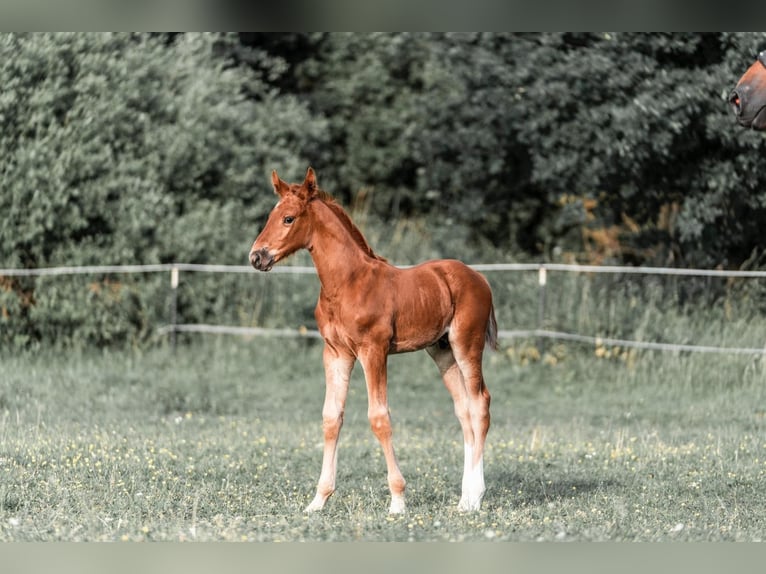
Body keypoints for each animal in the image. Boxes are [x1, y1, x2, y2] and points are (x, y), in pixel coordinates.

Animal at [249, 167, 497, 514]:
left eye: (288, 218)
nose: (256, 257)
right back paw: (464, 500)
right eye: (271, 216)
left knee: (480, 404)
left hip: (466, 345)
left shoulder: (373, 351)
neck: (347, 283)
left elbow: (379, 418)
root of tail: (480, 277)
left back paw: (475, 497)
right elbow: (331, 417)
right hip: (442, 352)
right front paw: (318, 501)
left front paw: (398, 501)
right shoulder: (336, 353)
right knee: (463, 411)